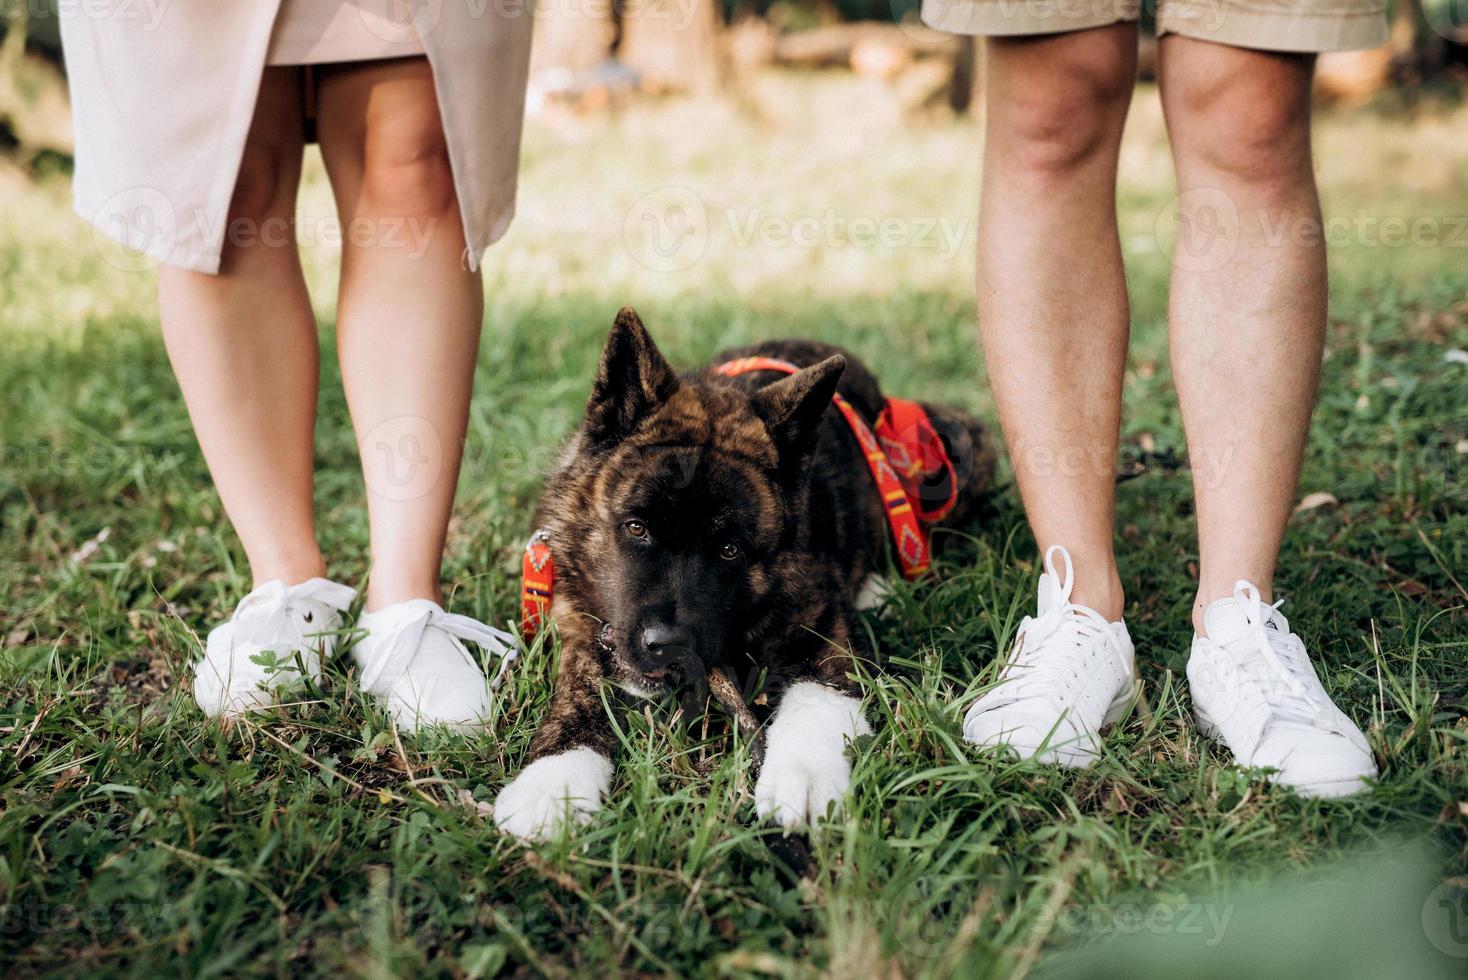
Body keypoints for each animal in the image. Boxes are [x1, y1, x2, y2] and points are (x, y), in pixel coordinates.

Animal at [496, 309, 998, 839]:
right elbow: (579, 699)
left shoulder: (819, 624)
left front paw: (805, 775)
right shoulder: (581, 631)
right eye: (636, 527)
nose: (666, 646)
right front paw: (554, 782)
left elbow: (816, 696)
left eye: (730, 550)